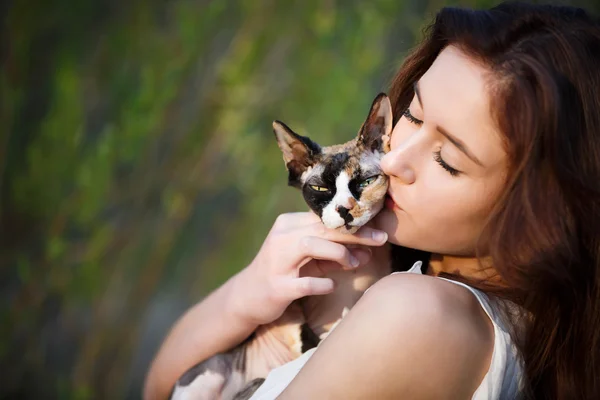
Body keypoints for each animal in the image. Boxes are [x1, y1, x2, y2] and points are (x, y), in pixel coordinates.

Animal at [170, 93, 394, 400]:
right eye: (321, 189)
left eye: (365, 182)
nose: (344, 209)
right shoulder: (288, 300)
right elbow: (303, 334)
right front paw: (327, 333)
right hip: (206, 375)